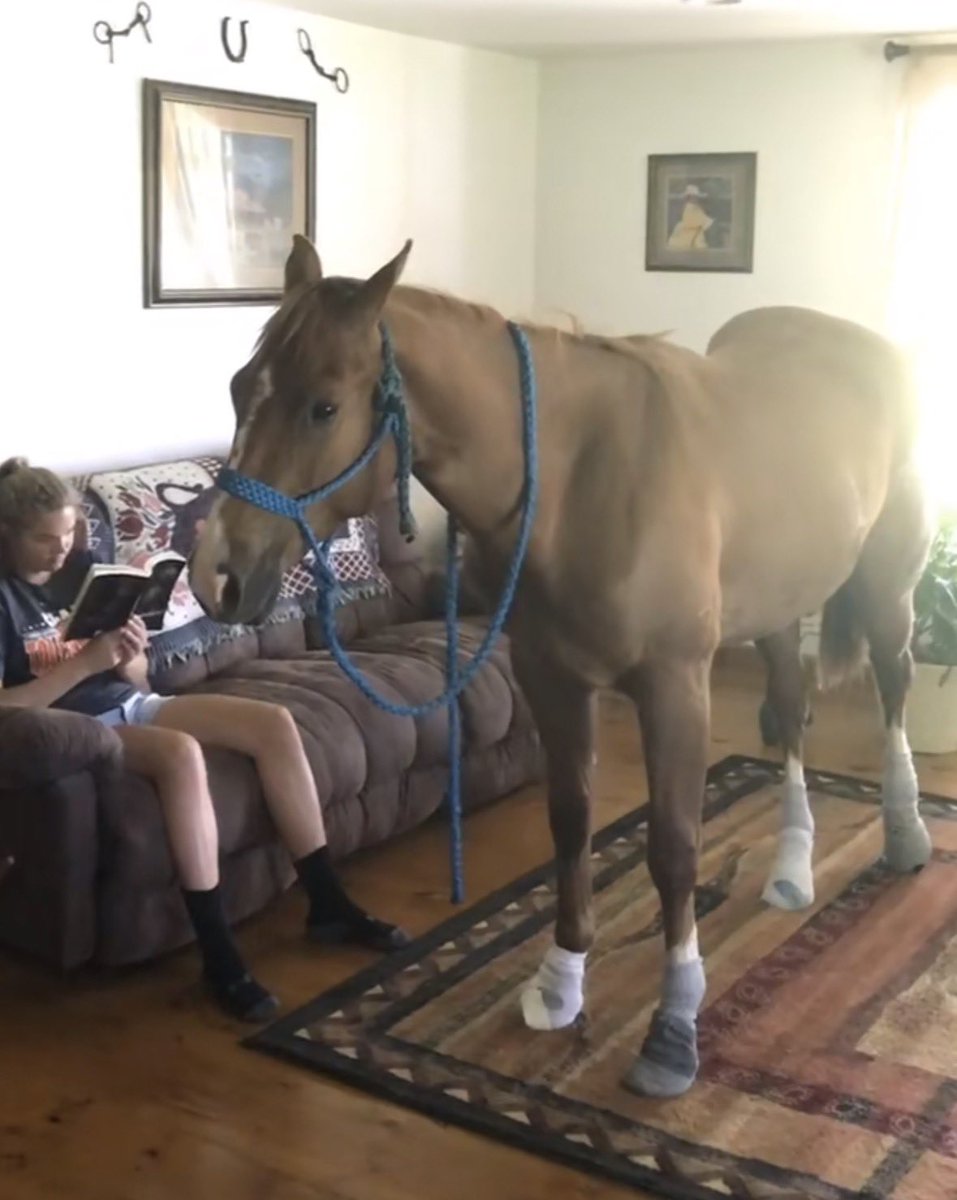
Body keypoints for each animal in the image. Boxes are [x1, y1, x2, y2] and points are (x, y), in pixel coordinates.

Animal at [188, 235, 935, 1098]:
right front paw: (560, 980)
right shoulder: (553, 680)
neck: (579, 482)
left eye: (324, 407)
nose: (214, 577)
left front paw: (673, 1028)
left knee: (893, 688)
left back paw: (905, 834)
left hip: (887, 590)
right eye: (238, 388)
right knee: (789, 711)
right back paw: (791, 864)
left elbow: (674, 848)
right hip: (780, 608)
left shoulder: (674, 688)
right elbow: (569, 824)